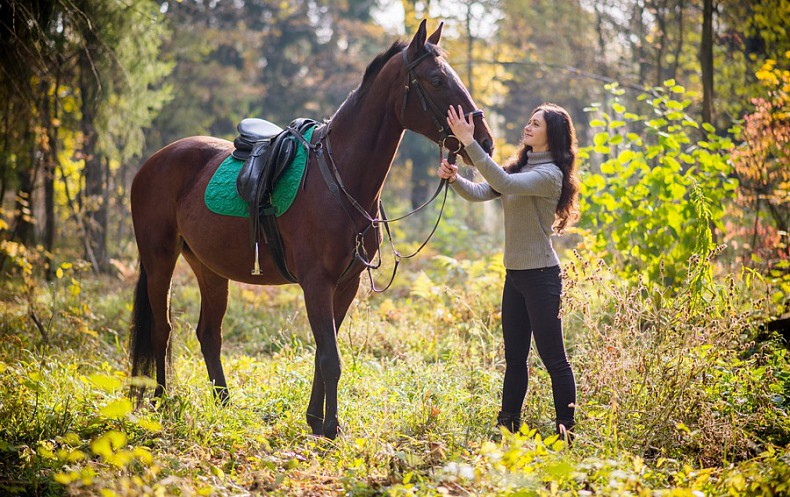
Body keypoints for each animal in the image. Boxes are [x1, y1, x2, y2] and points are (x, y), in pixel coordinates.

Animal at [130, 20, 496, 438]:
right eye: (436, 80)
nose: (484, 141)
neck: (338, 181)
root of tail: (153, 161)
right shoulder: (317, 282)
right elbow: (331, 357)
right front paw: (331, 428)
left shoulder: (346, 284)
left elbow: (324, 353)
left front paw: (317, 423)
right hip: (159, 259)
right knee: (163, 330)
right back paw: (162, 403)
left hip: (210, 268)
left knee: (208, 334)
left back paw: (224, 407)